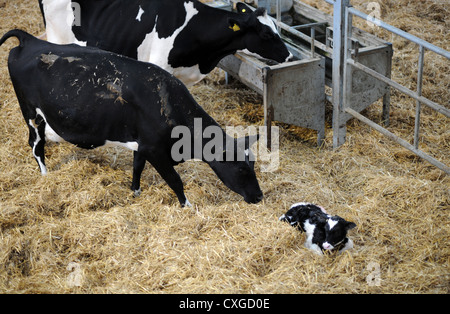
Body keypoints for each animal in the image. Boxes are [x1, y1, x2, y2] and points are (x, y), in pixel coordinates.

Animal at [0, 29, 264, 206]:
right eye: (242, 168)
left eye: (252, 163)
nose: (259, 196)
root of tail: (31, 40)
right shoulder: (156, 150)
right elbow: (175, 180)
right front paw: (187, 205)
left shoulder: (142, 144)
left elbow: (137, 167)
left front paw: (135, 191)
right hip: (31, 114)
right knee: (36, 145)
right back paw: (45, 174)